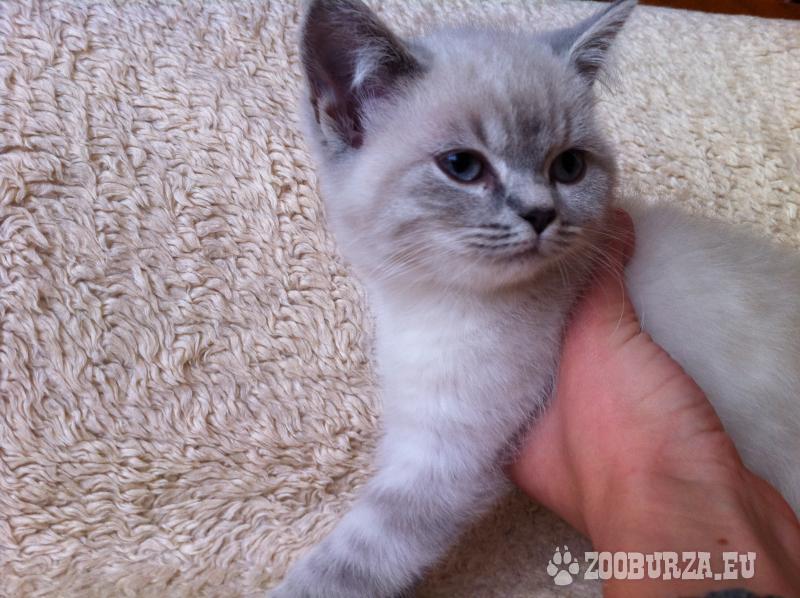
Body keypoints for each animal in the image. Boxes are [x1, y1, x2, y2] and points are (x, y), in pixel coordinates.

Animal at [271, 0, 800, 595]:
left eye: (568, 167)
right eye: (462, 166)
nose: (541, 213)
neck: (433, 302)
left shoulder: (445, 457)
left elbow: (347, 563)